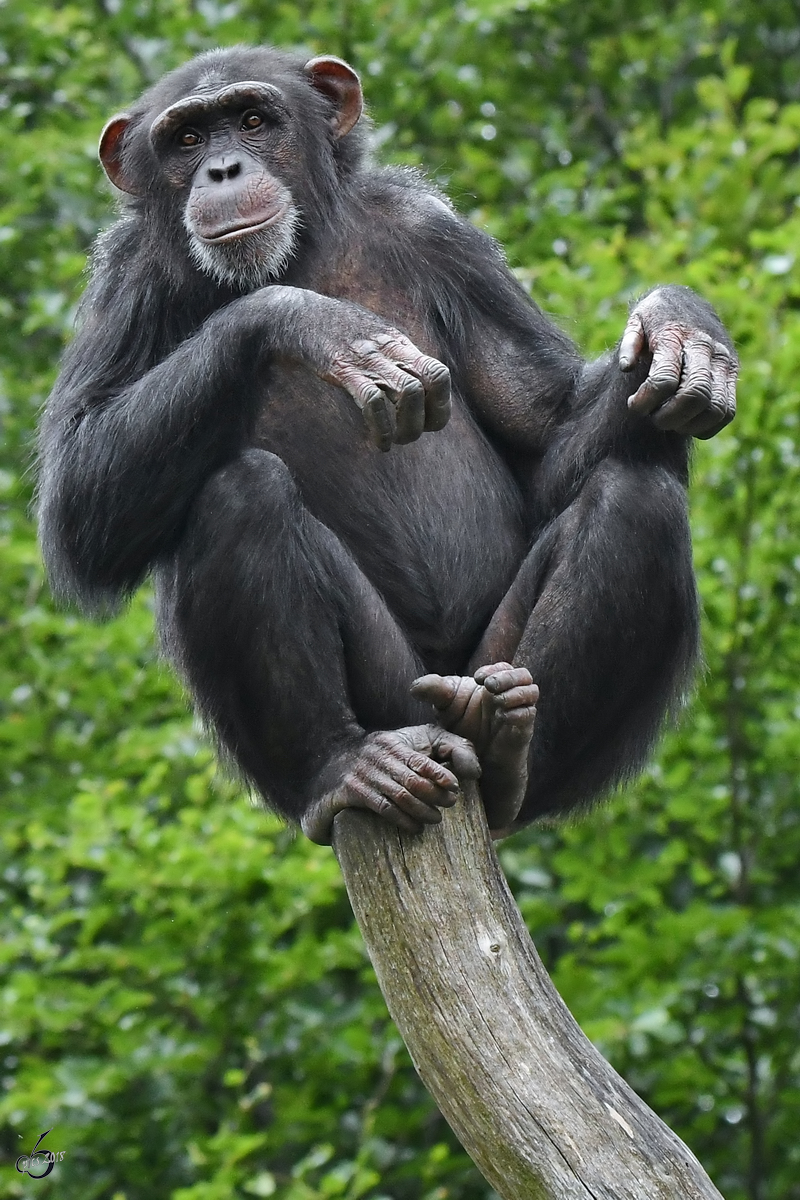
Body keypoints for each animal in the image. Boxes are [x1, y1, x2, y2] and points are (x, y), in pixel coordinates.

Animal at [35, 46, 738, 844]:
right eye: (186, 139)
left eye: (252, 120)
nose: (221, 170)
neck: (297, 251)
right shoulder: (129, 281)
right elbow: (81, 497)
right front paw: (313, 323)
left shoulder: (441, 237)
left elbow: (547, 425)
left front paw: (679, 325)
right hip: (391, 697)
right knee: (238, 494)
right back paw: (342, 768)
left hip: (490, 666)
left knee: (636, 497)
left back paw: (509, 757)